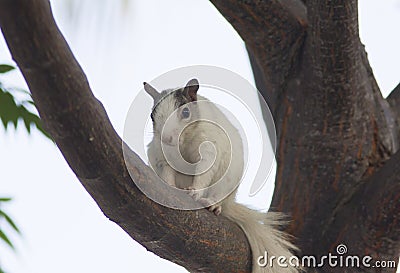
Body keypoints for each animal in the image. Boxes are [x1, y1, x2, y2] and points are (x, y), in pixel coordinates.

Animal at [145, 77, 300, 270]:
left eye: (186, 112)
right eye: (152, 115)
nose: (166, 139)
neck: (183, 142)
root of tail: (229, 204)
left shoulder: (209, 147)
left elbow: (204, 171)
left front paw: (194, 192)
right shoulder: (160, 155)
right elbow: (166, 170)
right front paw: (168, 186)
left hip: (225, 184)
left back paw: (212, 204)